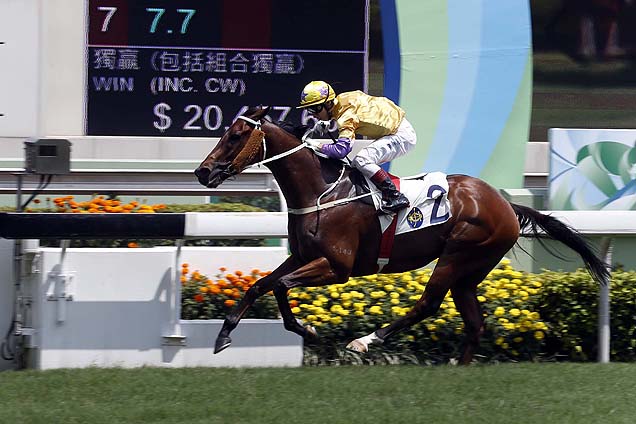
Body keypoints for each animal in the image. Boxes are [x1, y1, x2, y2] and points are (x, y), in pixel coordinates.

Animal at [193, 107, 608, 364]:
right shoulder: (302, 256)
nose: (202, 172)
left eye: (235, 136)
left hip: (458, 255)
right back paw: (459, 367)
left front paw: (308, 330)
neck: (321, 191)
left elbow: (280, 287)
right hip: (470, 271)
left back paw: (365, 341)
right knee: (474, 322)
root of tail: (506, 204)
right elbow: (260, 285)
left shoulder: (336, 266)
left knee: (427, 304)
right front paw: (223, 336)